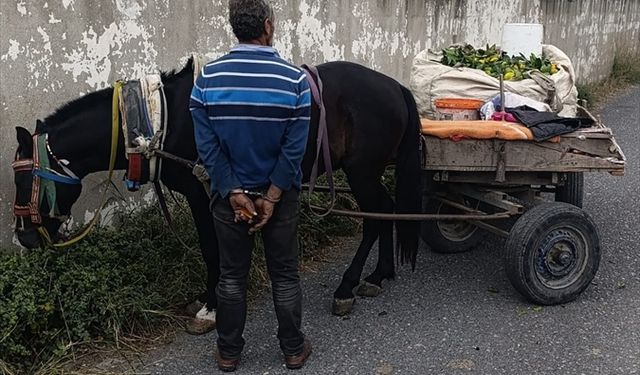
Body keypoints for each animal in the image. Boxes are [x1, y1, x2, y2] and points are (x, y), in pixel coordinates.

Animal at [12, 58, 422, 320]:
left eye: (24, 179)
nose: (26, 237)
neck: (166, 120)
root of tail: (394, 86)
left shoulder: (202, 192)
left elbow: (211, 248)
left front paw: (210, 304)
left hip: (361, 171)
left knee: (373, 218)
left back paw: (347, 286)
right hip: (367, 173)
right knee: (386, 209)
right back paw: (378, 274)